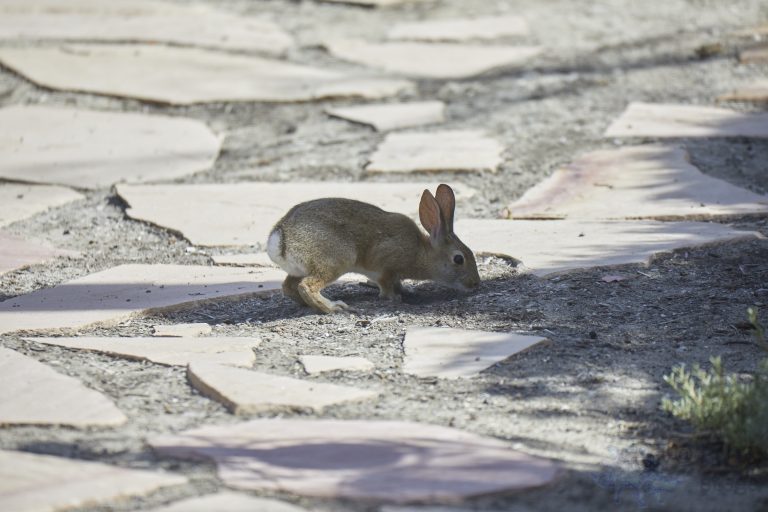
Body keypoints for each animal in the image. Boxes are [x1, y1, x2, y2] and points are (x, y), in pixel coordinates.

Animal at [266, 184, 480, 314]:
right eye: (459, 259)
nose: (475, 283)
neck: (421, 252)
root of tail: (280, 236)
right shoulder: (385, 267)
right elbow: (386, 284)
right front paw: (394, 297)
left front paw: (407, 291)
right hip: (336, 261)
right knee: (306, 286)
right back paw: (334, 307)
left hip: (300, 268)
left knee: (289, 287)